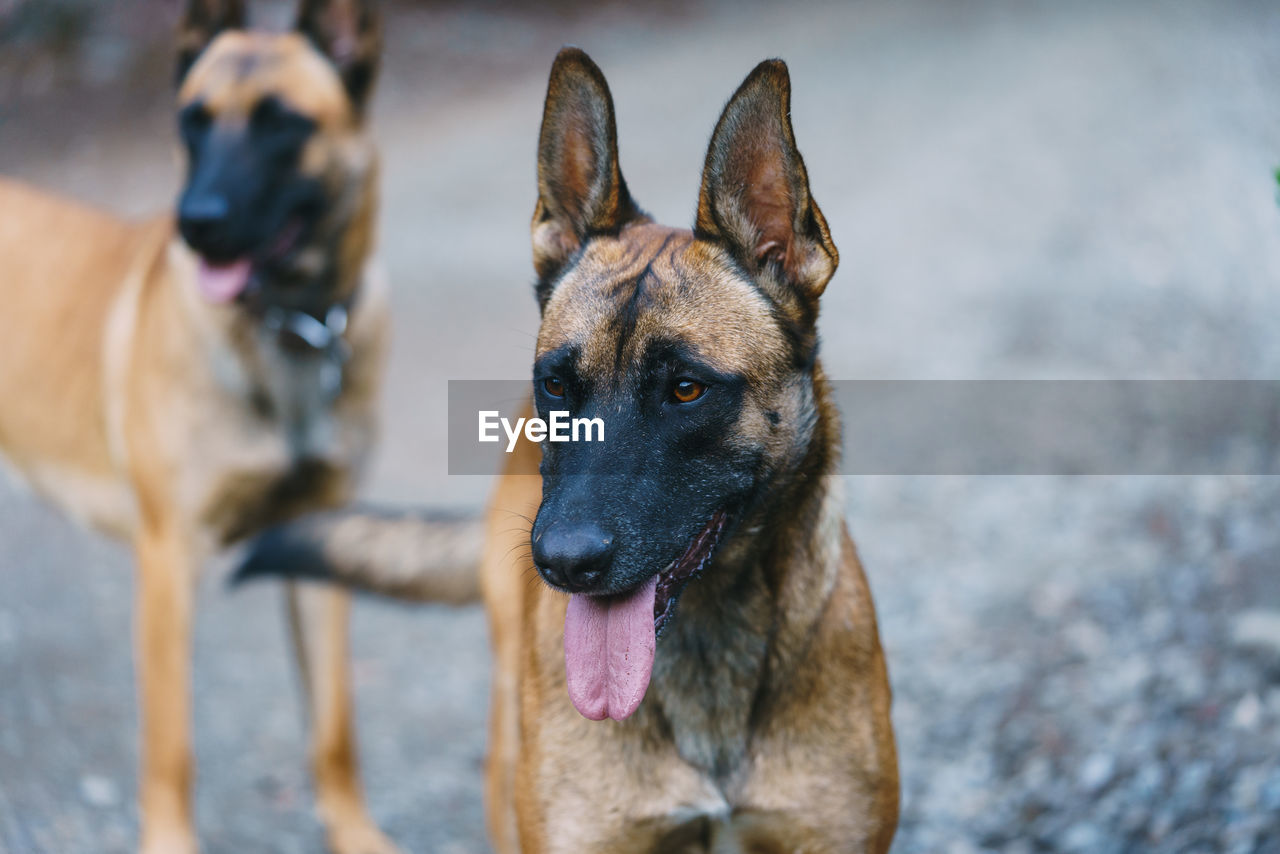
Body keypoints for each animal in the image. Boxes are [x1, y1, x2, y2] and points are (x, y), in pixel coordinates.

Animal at [0, 3, 399, 850]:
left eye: (284, 123)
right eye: (193, 120)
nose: (196, 223)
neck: (291, 328)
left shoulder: (319, 546)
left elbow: (334, 729)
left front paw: (357, 834)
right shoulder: (165, 565)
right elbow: (171, 747)